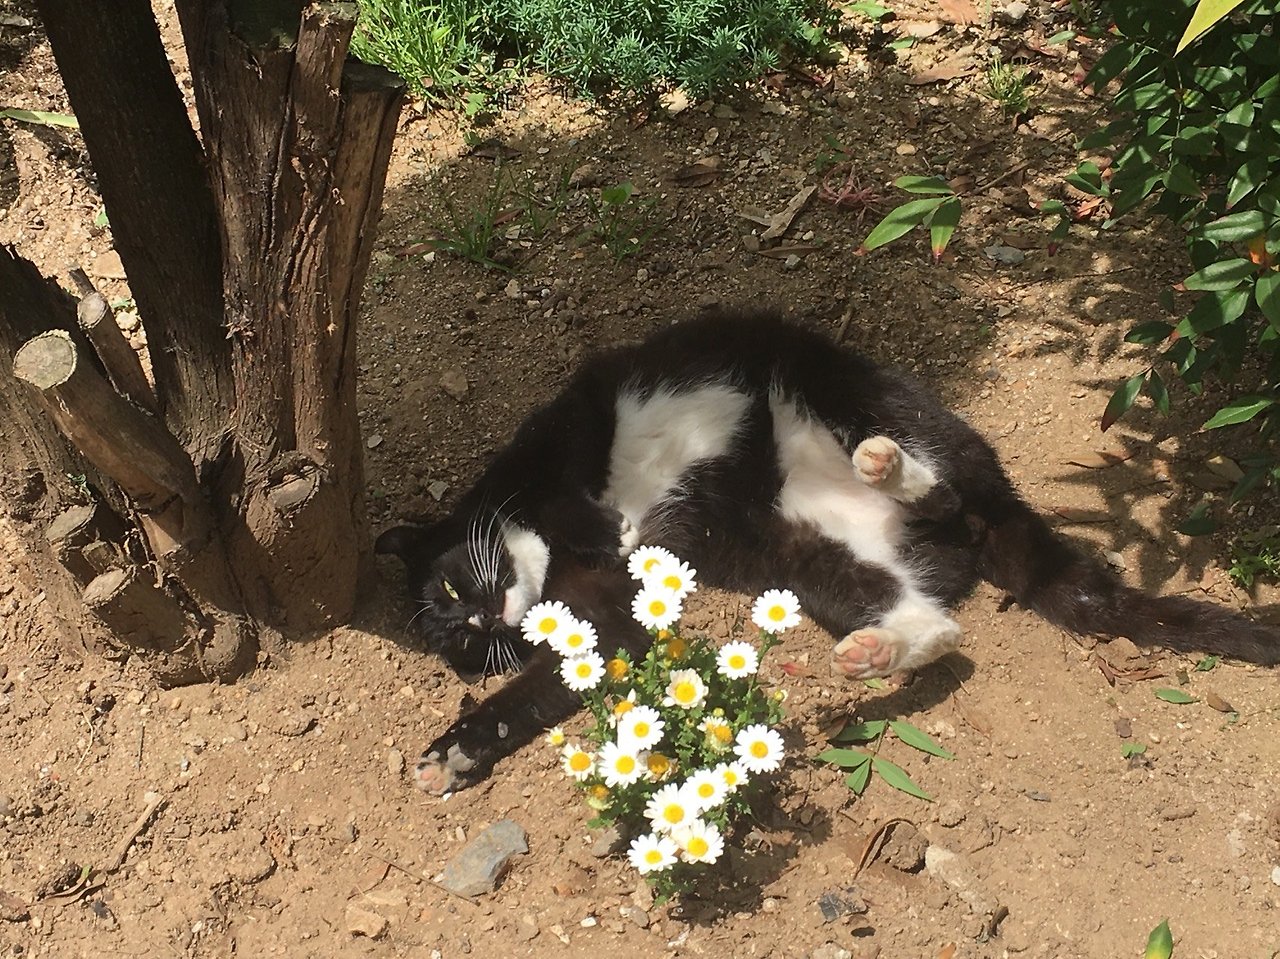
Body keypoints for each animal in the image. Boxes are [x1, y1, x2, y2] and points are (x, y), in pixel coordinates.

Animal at [377, 309, 1279, 794]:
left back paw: (890, 467)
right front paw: (455, 752)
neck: (547, 554)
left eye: (450, 592)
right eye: (465, 642)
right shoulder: (609, 618)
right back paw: (875, 650)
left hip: (856, 393)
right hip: (811, 562)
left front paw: (604, 522)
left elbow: (581, 485)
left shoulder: (566, 433)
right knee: (941, 626)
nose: (482, 615)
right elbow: (540, 686)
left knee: (942, 487)